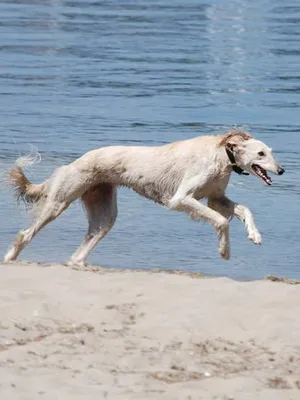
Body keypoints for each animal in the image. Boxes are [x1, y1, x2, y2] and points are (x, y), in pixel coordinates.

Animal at [3, 129, 284, 266]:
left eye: (270, 152)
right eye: (260, 153)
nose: (281, 170)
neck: (220, 155)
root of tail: (74, 163)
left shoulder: (215, 198)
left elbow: (244, 210)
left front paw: (254, 235)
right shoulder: (181, 199)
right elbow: (222, 221)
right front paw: (224, 250)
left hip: (103, 212)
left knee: (86, 243)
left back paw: (78, 263)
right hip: (59, 202)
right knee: (26, 234)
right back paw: (10, 257)